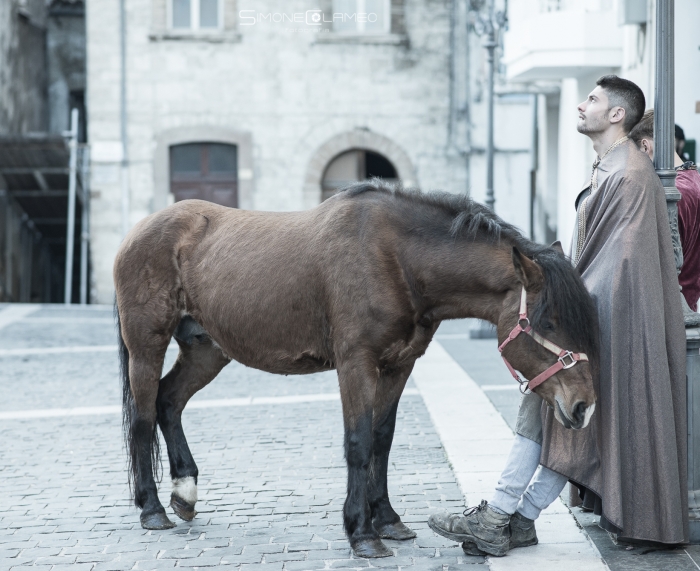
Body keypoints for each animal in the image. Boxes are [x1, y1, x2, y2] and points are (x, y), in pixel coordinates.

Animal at [113, 184, 596, 560]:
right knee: (143, 418)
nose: (583, 406)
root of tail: (137, 231)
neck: (397, 259)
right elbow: (359, 441)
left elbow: (382, 439)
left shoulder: (399, 364)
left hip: (206, 350)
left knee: (169, 402)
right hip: (146, 345)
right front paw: (361, 532)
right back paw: (152, 509)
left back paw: (184, 492)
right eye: (549, 321)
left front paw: (387, 520)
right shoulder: (356, 363)